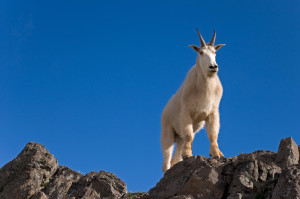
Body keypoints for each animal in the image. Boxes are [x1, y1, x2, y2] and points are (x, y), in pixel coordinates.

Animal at [162, 28, 225, 172]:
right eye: (201, 52)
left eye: (215, 52)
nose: (213, 67)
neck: (206, 87)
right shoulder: (186, 113)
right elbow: (189, 135)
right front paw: (188, 155)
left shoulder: (213, 113)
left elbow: (213, 134)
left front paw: (217, 154)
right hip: (167, 132)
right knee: (166, 159)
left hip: (179, 138)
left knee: (175, 156)